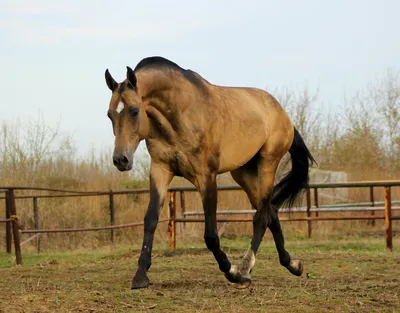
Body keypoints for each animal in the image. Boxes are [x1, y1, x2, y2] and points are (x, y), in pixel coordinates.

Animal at [104, 56, 316, 288]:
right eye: (110, 115)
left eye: (134, 110)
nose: (120, 160)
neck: (180, 113)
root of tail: (282, 114)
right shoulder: (160, 170)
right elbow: (150, 219)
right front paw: (140, 275)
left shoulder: (206, 176)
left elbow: (211, 235)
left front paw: (231, 271)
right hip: (244, 174)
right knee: (271, 212)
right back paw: (292, 265)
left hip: (267, 166)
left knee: (261, 218)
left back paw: (244, 270)